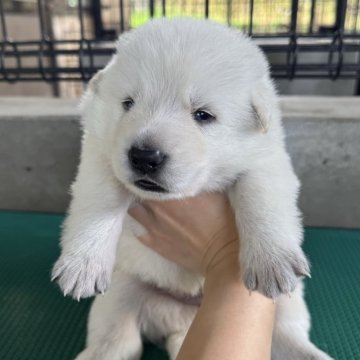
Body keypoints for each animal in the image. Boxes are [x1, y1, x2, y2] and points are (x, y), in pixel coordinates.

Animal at [52, 17, 334, 360]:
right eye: (128, 103)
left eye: (203, 114)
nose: (144, 157)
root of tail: (183, 322)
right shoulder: (99, 154)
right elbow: (101, 200)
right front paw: (82, 265)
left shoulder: (267, 160)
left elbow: (260, 197)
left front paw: (271, 260)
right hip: (120, 291)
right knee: (118, 339)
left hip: (288, 306)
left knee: (285, 336)